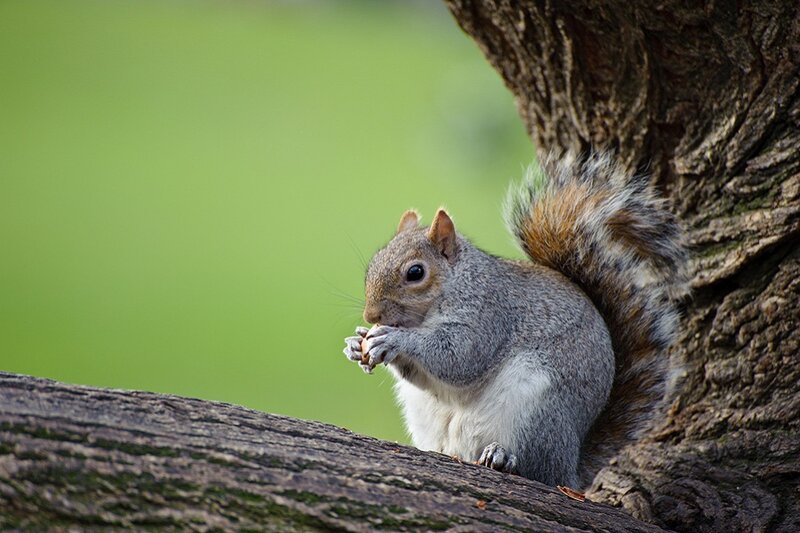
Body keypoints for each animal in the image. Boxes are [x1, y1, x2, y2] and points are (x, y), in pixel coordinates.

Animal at [343, 151, 688, 489]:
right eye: (373, 264)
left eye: (415, 272)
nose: (371, 314)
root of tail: (572, 468)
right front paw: (356, 343)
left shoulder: (490, 316)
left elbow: (459, 359)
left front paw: (394, 339)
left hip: (537, 411)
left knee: (538, 469)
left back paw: (503, 457)